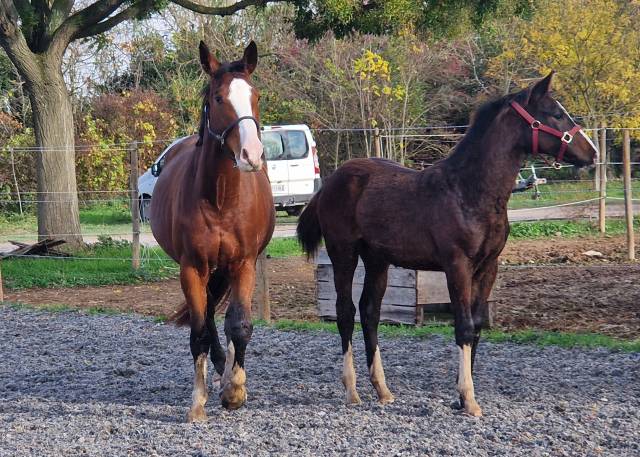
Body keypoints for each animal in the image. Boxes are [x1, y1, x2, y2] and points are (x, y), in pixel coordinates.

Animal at [150, 41, 275, 421]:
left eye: (256, 95)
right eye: (218, 98)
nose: (252, 154)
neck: (221, 198)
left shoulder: (244, 263)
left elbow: (240, 325)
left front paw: (235, 390)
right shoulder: (192, 268)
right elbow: (199, 333)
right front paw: (198, 402)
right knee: (205, 317)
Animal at [296, 73, 597, 416]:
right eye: (555, 114)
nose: (592, 154)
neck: (468, 191)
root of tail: (331, 182)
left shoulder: (488, 268)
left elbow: (476, 326)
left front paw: (462, 397)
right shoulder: (457, 266)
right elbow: (462, 326)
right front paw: (469, 399)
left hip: (378, 261)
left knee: (370, 312)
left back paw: (383, 390)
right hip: (343, 254)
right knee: (345, 312)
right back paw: (352, 390)